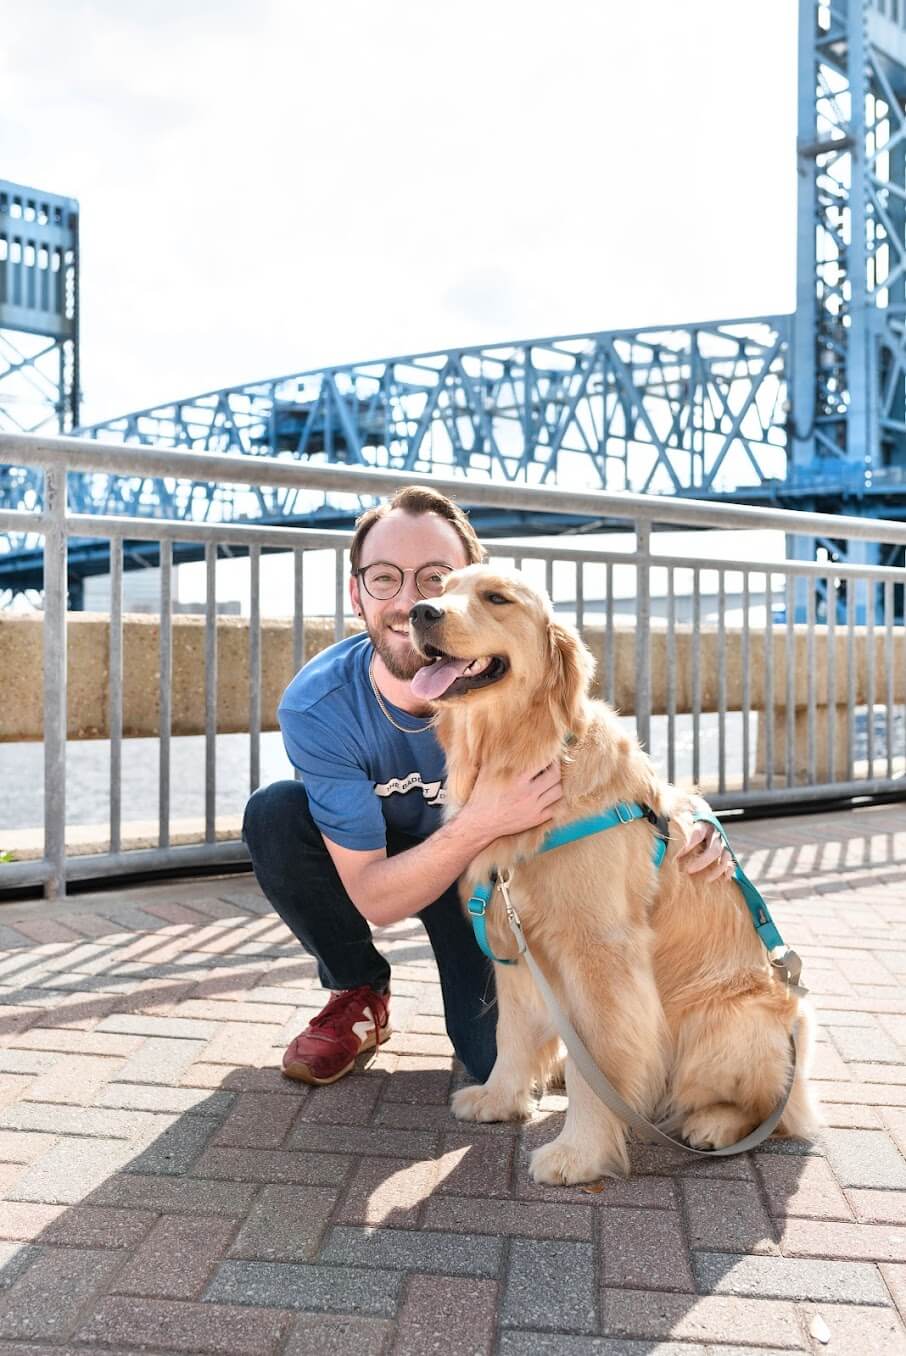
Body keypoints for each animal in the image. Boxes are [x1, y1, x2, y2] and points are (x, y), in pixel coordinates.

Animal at [406, 566, 819, 1182]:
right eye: (442, 585)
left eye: (496, 598)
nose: (421, 612)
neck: (528, 755)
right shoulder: (515, 943)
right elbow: (511, 1032)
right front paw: (500, 1098)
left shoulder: (599, 954)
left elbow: (595, 1063)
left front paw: (578, 1152)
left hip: (723, 1019)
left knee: (772, 1111)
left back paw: (715, 1125)